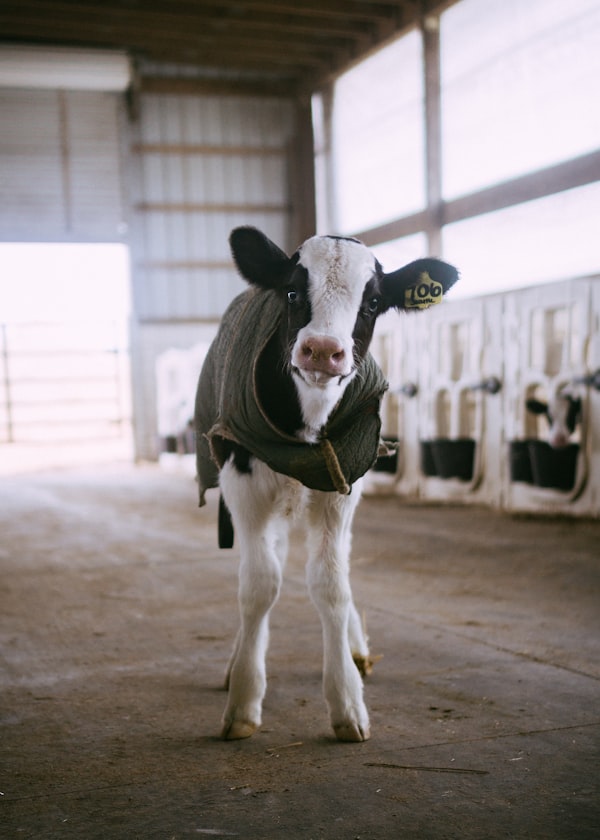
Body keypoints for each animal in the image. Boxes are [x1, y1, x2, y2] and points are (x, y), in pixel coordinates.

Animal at [195, 226, 458, 742]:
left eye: (372, 302)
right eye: (293, 292)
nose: (320, 350)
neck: (309, 423)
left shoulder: (343, 483)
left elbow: (331, 583)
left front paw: (347, 702)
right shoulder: (242, 479)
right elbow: (258, 584)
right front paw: (243, 701)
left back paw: (356, 649)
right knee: (270, 561)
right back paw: (238, 662)